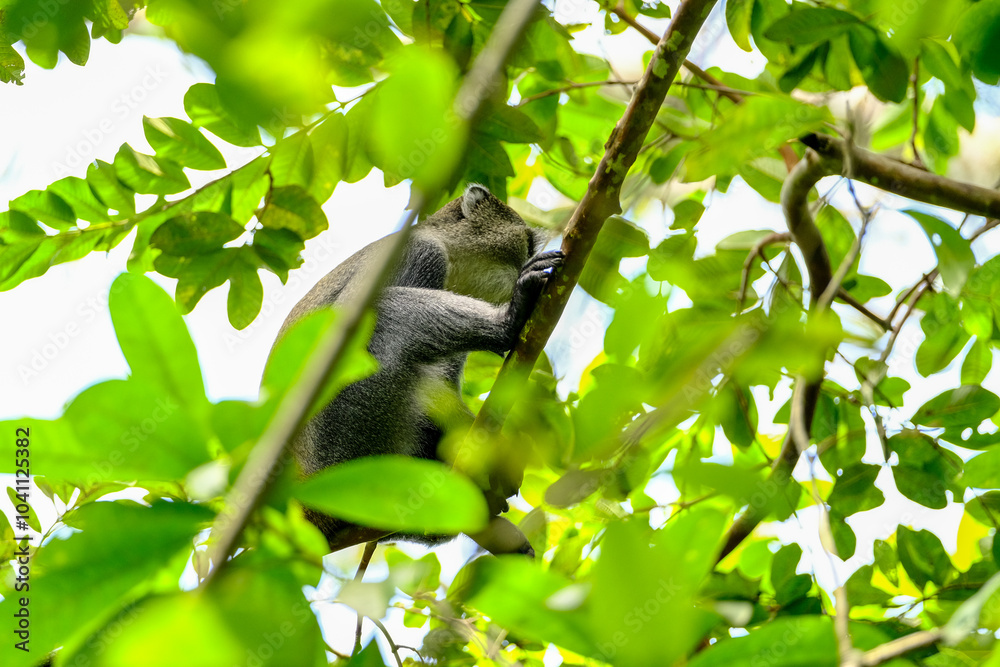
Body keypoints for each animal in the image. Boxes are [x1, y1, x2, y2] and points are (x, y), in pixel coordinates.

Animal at [273, 183, 563, 556]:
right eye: (525, 242)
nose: (528, 253)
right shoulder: (421, 255)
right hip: (345, 444)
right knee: (385, 314)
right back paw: (509, 320)